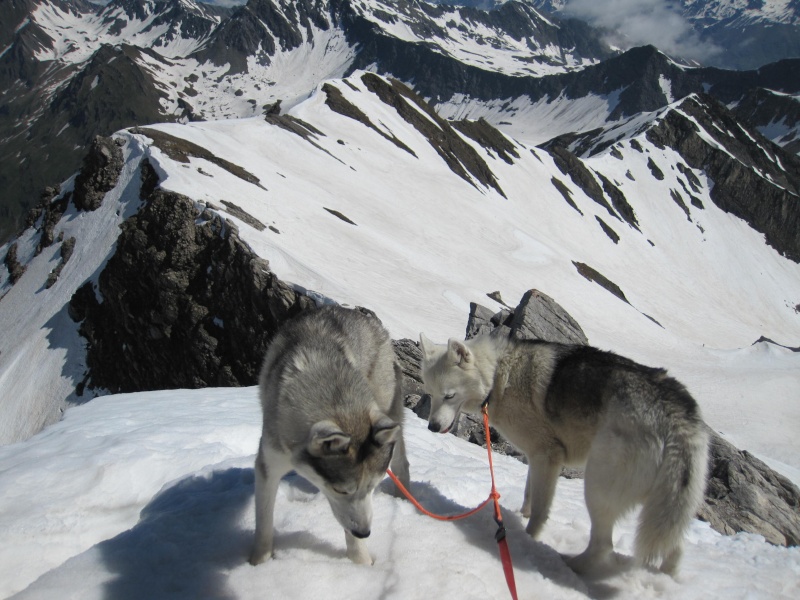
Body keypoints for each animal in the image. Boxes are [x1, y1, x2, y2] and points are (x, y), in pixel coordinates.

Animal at [248, 308, 412, 564]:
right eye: (341, 490)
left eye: (372, 487)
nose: (364, 532)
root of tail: (359, 314)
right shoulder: (269, 463)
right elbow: (264, 521)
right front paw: (259, 562)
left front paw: (360, 563)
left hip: (389, 411)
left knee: (401, 462)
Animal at [418, 332, 708, 576]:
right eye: (431, 394)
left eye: (449, 395)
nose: (431, 427)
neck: (499, 374)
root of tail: (677, 412)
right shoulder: (536, 458)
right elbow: (529, 497)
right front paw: (521, 517)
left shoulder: (546, 456)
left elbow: (539, 510)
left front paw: (528, 539)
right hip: (665, 508)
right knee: (674, 547)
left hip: (597, 486)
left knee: (603, 545)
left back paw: (570, 566)